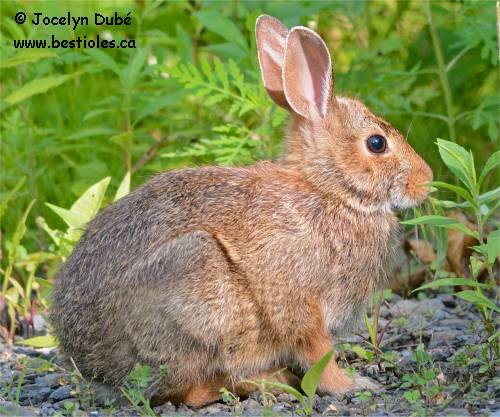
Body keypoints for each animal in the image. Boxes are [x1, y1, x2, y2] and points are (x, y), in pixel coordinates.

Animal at [51, 15, 434, 406]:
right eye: (377, 143)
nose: (427, 181)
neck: (329, 191)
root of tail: (92, 366)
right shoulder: (296, 302)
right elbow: (317, 351)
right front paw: (352, 385)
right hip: (193, 289)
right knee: (185, 391)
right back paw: (266, 382)